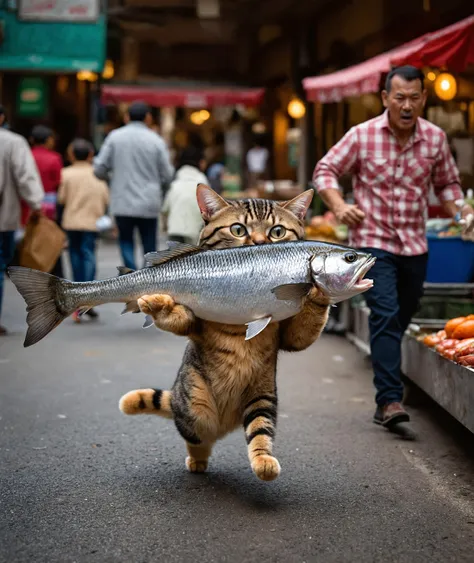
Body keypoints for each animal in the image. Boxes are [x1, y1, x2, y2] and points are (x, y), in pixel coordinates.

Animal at [119, 185, 330, 480]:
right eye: (238, 229)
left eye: (277, 232)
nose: (259, 244)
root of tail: (224, 423)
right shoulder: (195, 322)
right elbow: (179, 319)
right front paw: (158, 304)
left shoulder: (290, 335)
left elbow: (304, 329)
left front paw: (321, 293)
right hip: (195, 407)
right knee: (196, 438)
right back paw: (197, 460)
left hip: (262, 396)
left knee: (259, 432)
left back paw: (263, 462)